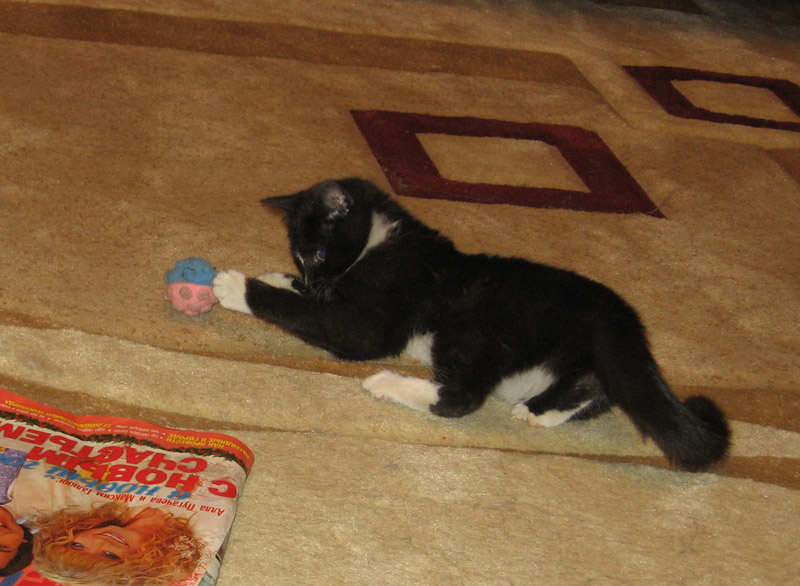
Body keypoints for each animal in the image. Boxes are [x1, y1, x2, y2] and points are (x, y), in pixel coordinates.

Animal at [212, 178, 730, 472]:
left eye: (318, 252)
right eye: (300, 255)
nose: (315, 276)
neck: (385, 240)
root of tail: (617, 313)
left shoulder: (368, 322)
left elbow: (314, 316)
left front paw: (236, 286)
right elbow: (305, 298)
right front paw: (279, 278)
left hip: (476, 324)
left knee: (463, 396)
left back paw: (388, 384)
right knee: (597, 386)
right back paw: (541, 410)